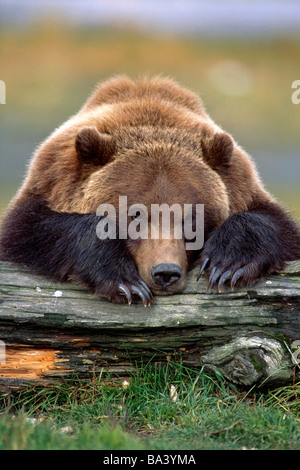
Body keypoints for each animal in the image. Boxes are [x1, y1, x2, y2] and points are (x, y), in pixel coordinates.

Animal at [0, 75, 300, 306]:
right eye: (135, 215)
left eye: (192, 219)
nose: (165, 272)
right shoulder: (48, 187)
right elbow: (31, 231)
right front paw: (124, 281)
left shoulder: (242, 187)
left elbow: (275, 227)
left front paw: (226, 265)